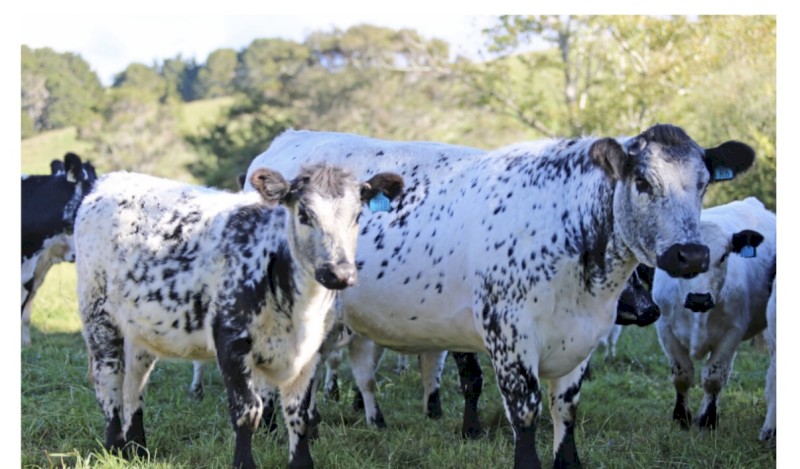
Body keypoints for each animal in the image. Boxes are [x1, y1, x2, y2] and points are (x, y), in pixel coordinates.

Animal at [74, 164, 404, 469]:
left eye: (357, 215)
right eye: (304, 215)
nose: (340, 273)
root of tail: (112, 179)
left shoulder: (310, 351)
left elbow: (298, 412)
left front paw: (302, 462)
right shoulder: (231, 340)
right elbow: (248, 411)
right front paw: (244, 462)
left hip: (140, 329)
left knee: (135, 385)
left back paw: (138, 449)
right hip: (98, 316)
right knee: (109, 382)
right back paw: (114, 447)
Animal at [244, 125, 754, 467]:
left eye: (703, 184)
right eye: (643, 183)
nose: (690, 254)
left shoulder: (580, 342)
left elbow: (566, 413)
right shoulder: (508, 338)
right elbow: (524, 414)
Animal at [653, 197, 775, 433]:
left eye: (723, 256)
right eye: (680, 258)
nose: (699, 298)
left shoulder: (732, 332)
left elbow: (714, 377)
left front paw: (708, 420)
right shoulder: (665, 329)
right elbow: (682, 375)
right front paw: (682, 417)